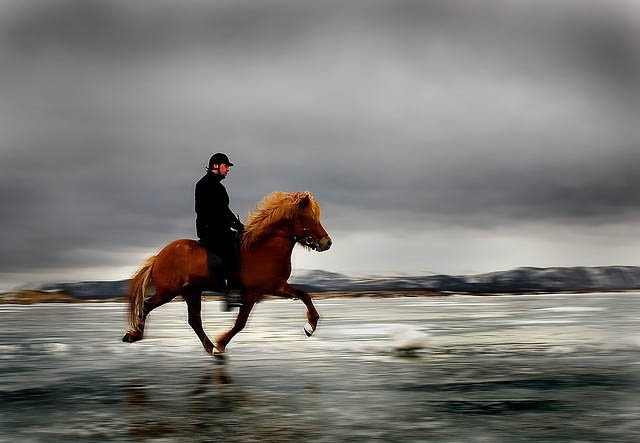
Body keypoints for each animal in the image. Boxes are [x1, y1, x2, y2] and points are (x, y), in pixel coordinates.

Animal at [122, 191, 332, 358]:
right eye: (310, 218)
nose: (327, 243)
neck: (265, 248)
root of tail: (158, 256)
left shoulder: (275, 286)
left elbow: (305, 295)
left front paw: (310, 326)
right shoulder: (251, 293)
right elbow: (240, 323)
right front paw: (221, 343)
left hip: (191, 291)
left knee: (194, 320)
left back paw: (208, 347)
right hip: (168, 291)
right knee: (147, 306)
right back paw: (134, 335)